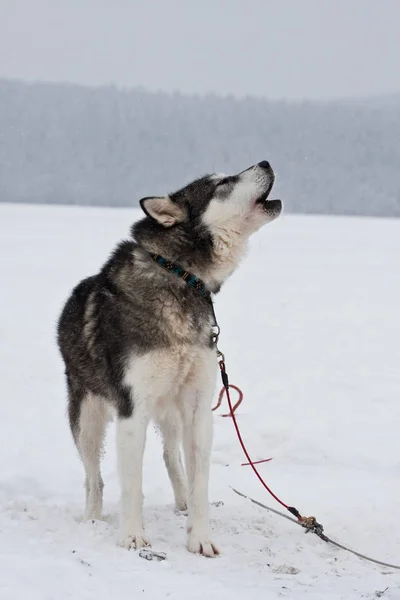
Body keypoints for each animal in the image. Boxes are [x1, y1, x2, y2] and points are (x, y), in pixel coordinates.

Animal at [57, 161, 282, 556]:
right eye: (222, 183)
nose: (267, 163)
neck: (180, 276)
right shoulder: (132, 409)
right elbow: (131, 484)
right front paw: (132, 535)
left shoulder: (197, 408)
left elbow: (199, 483)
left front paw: (200, 537)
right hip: (87, 417)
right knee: (93, 477)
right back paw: (92, 518)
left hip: (171, 412)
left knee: (171, 458)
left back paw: (182, 504)